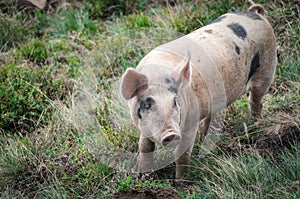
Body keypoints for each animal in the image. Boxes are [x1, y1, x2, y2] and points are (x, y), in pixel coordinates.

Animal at [119, 3, 276, 180]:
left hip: (267, 68)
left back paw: (254, 124)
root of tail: (257, 14)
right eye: (147, 104)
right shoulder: (142, 127)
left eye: (174, 102)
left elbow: (182, 154)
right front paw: (142, 176)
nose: (170, 134)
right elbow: (144, 146)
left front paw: (181, 183)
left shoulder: (190, 122)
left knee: (256, 99)